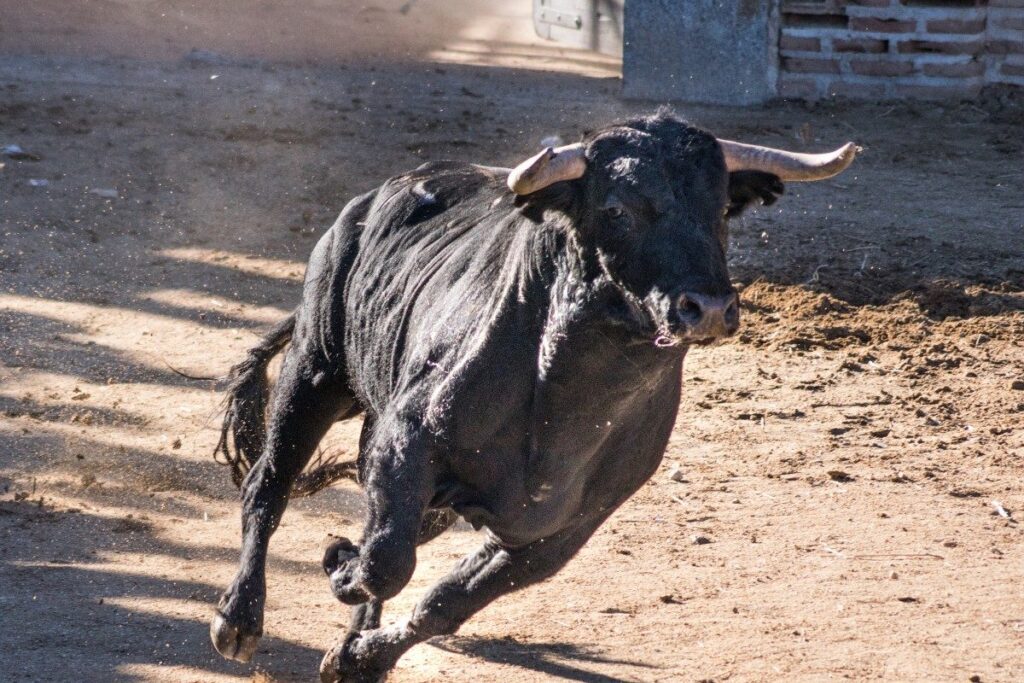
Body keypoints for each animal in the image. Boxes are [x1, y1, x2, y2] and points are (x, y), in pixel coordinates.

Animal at [208, 111, 857, 682]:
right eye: (616, 207)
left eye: (721, 207)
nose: (711, 307)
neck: (563, 404)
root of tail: (370, 201)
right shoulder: (405, 442)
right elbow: (385, 560)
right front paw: (339, 567)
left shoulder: (562, 530)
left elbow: (445, 601)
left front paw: (358, 657)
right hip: (317, 370)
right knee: (268, 485)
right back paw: (237, 621)